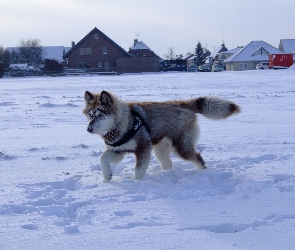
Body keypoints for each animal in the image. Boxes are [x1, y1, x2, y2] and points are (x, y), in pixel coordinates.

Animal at [83, 91, 240, 181]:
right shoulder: (118, 150)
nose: (89, 129)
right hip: (160, 149)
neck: (123, 122)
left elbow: (139, 171)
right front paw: (107, 176)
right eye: (90, 115)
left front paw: (137, 184)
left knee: (198, 158)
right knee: (168, 163)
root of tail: (183, 103)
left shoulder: (143, 148)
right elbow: (102, 158)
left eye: (100, 114)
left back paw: (203, 175)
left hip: (181, 147)